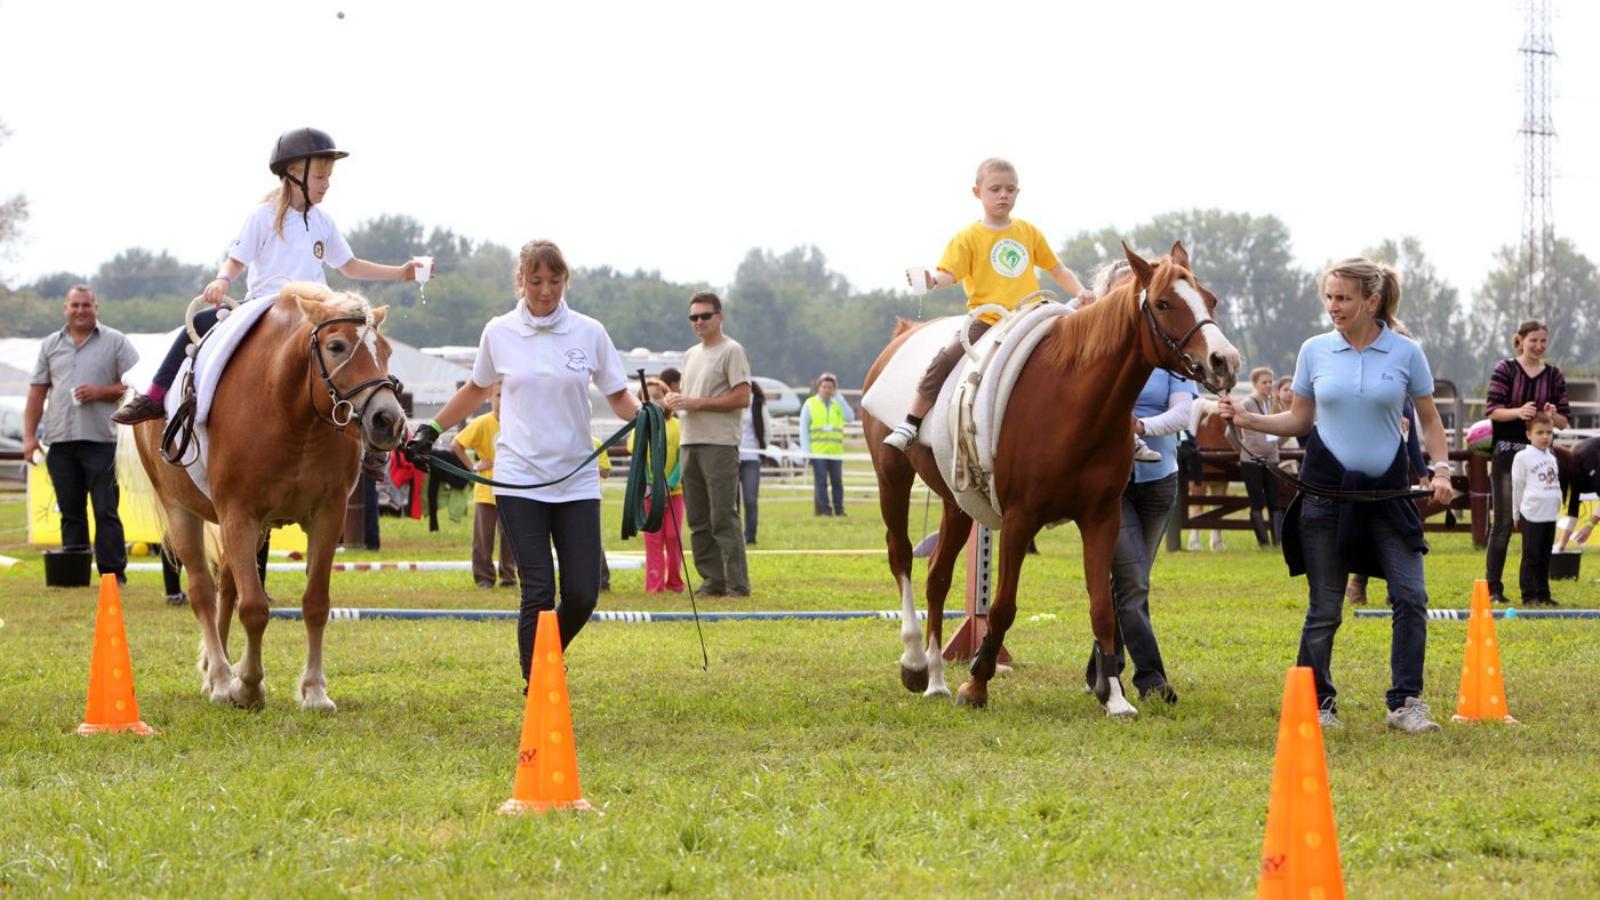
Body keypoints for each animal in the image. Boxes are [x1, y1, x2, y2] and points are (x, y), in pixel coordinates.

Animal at [132, 281, 406, 707]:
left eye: (387, 350)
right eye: (337, 346)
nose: (388, 420)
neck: (289, 411)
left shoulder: (326, 516)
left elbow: (315, 603)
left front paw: (314, 691)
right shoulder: (239, 516)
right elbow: (255, 608)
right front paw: (246, 686)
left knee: (226, 589)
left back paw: (214, 672)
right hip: (182, 512)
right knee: (203, 591)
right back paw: (222, 679)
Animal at [870, 241, 1241, 711]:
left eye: (1210, 299)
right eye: (1162, 303)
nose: (1224, 361)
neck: (1071, 400)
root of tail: (902, 336)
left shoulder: (1103, 518)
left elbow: (1103, 608)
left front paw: (1114, 696)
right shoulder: (1018, 520)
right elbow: (1002, 606)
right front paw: (977, 684)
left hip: (957, 502)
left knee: (937, 576)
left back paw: (937, 678)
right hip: (892, 477)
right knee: (901, 557)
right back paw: (916, 662)